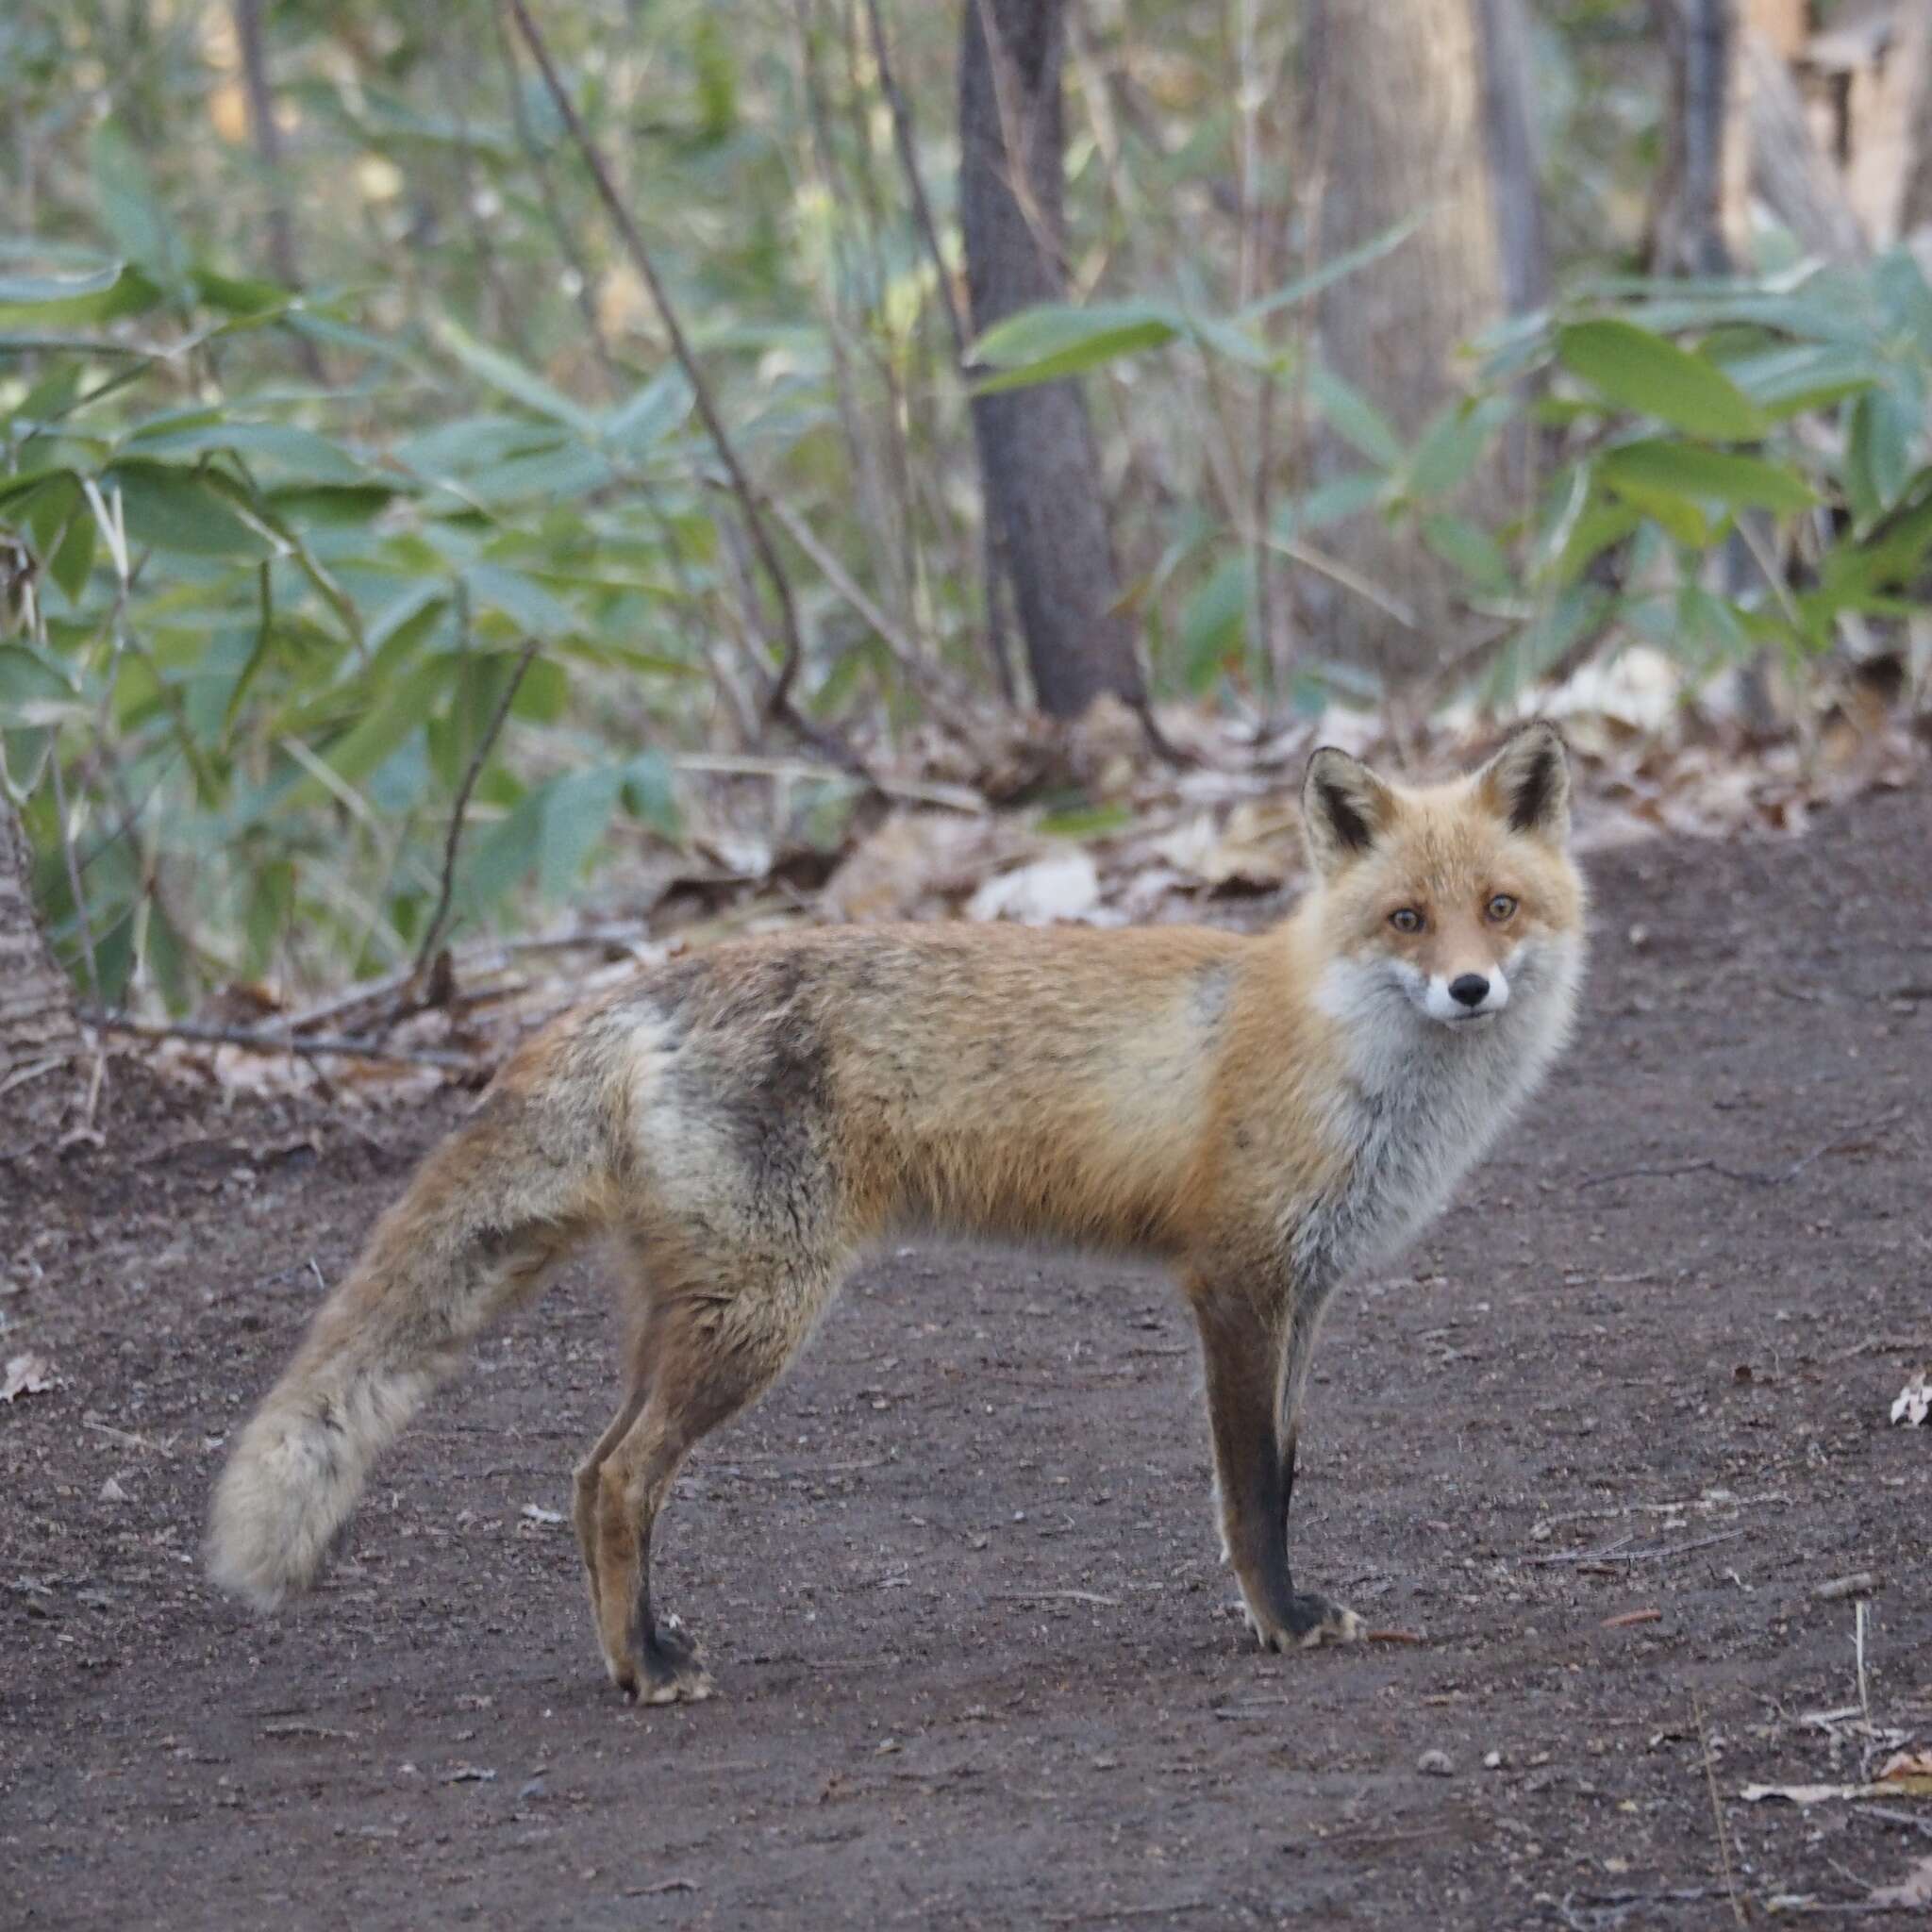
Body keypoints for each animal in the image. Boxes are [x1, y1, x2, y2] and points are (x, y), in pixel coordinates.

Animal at [208, 718, 1584, 1700]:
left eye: (1498, 909)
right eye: (1404, 919)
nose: (1469, 988)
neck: (1344, 1051)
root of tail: (640, 990)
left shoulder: (1307, 1291)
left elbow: (1287, 1470)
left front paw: (1289, 1610)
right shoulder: (1235, 1282)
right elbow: (1251, 1490)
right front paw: (1282, 1624)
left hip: (689, 1309)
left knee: (595, 1468)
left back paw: (636, 1648)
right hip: (757, 1314)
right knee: (622, 1478)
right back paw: (646, 1669)